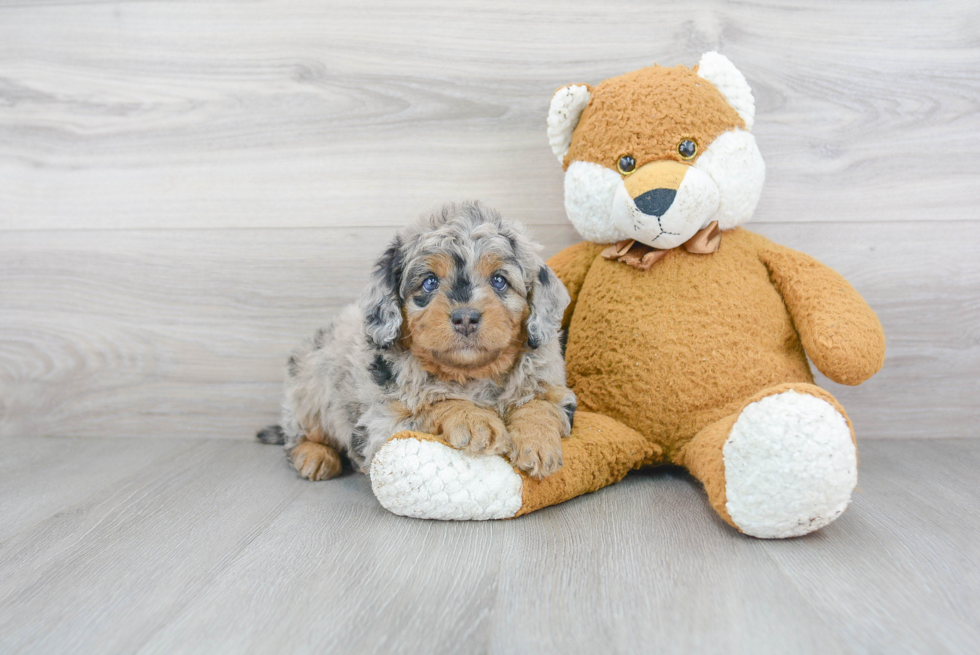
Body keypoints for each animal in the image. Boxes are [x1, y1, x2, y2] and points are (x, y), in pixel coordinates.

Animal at [256, 202, 580, 484]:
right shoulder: (383, 424)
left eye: (499, 281)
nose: (466, 317)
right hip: (309, 392)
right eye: (429, 282)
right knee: (297, 438)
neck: (471, 375)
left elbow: (539, 404)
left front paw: (538, 443)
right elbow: (434, 404)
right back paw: (315, 456)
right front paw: (475, 420)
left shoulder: (556, 391)